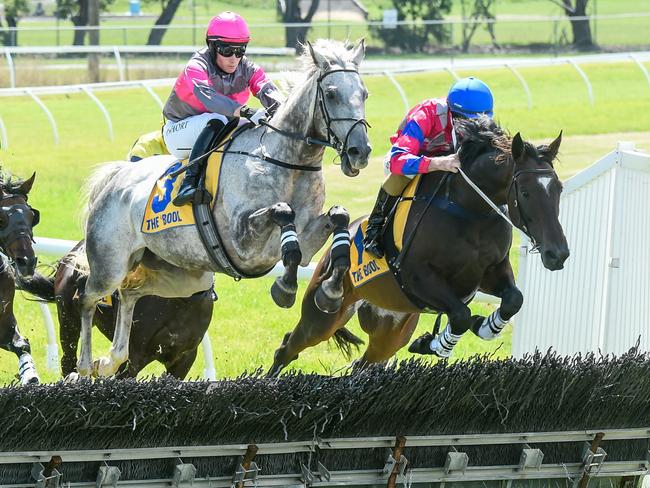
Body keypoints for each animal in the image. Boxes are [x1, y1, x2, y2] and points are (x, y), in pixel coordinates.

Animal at [76, 41, 370, 378]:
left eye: (364, 93)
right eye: (332, 93)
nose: (360, 151)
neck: (286, 161)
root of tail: (116, 178)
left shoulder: (306, 238)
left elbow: (338, 216)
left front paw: (330, 291)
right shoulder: (243, 242)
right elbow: (283, 213)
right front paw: (285, 288)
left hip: (183, 276)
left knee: (129, 293)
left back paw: (111, 359)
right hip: (110, 264)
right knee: (87, 297)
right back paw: (84, 365)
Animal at [268, 116, 568, 376]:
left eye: (559, 189)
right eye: (526, 192)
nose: (558, 254)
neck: (468, 209)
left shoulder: (490, 271)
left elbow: (513, 299)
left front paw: (483, 327)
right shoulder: (418, 278)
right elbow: (461, 314)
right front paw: (438, 343)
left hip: (391, 329)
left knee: (363, 364)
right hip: (324, 314)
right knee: (288, 347)